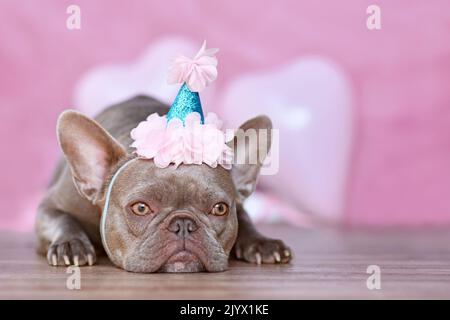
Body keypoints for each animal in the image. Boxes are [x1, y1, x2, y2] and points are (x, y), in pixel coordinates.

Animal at [37, 95, 292, 272]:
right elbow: (60, 218)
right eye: (141, 208)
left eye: (219, 209)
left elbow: (246, 220)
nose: (183, 224)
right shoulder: (49, 207)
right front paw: (71, 243)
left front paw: (261, 242)